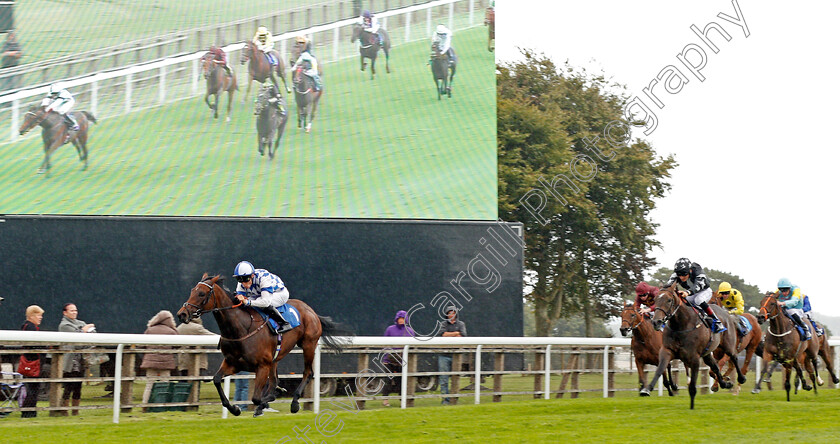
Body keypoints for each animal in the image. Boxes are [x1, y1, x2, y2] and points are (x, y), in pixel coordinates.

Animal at [177, 274, 348, 416]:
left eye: (201, 293)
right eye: (192, 290)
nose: (182, 314)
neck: (241, 329)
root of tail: (310, 310)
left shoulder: (262, 366)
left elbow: (256, 398)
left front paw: (263, 405)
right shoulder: (233, 363)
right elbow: (217, 380)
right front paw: (235, 409)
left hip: (308, 345)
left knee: (308, 373)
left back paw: (294, 403)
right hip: (276, 358)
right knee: (274, 382)